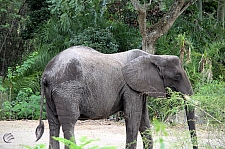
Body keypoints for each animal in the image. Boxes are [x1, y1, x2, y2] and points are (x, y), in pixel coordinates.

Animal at [34, 45, 197, 149]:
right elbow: (133, 117)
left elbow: (143, 119)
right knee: (69, 123)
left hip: (51, 95)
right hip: (67, 91)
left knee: (54, 123)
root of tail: (46, 74)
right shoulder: (130, 88)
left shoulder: (139, 88)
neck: (154, 57)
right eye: (177, 76)